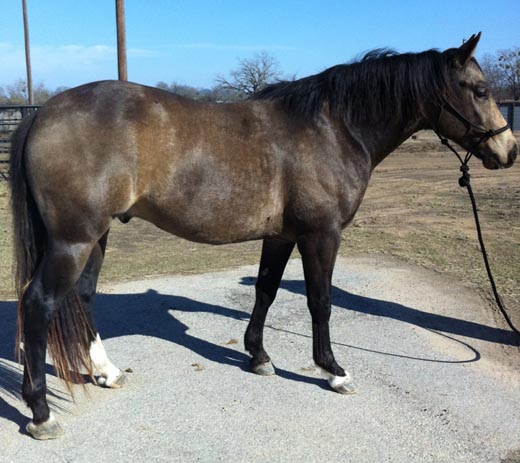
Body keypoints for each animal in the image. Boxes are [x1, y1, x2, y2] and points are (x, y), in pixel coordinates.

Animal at [8, 32, 516, 438]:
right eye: (480, 89)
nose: (508, 150)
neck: (332, 129)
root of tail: (43, 113)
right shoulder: (320, 235)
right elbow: (320, 301)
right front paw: (333, 371)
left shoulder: (282, 236)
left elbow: (267, 291)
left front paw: (257, 357)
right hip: (73, 240)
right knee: (38, 304)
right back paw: (40, 412)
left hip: (94, 238)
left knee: (82, 297)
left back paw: (105, 372)